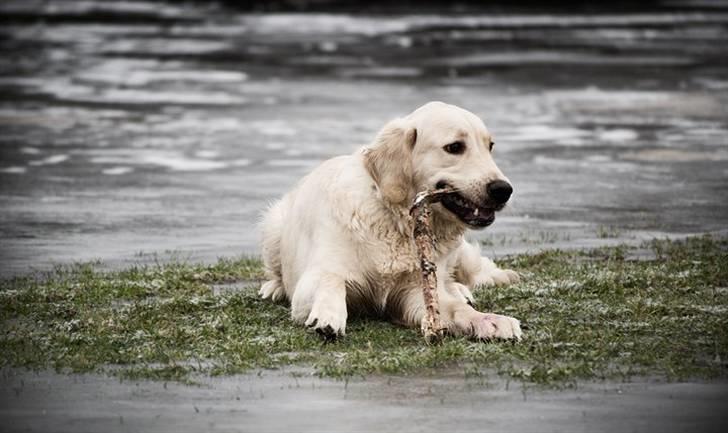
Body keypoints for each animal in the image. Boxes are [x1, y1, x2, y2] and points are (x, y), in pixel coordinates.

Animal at [262, 101, 524, 340]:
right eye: (455, 147)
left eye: (490, 147)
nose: (503, 189)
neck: (396, 221)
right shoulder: (317, 275)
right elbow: (331, 281)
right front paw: (328, 316)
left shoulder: (415, 290)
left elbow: (456, 309)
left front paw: (489, 320)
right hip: (273, 226)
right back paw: (273, 288)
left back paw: (462, 289)